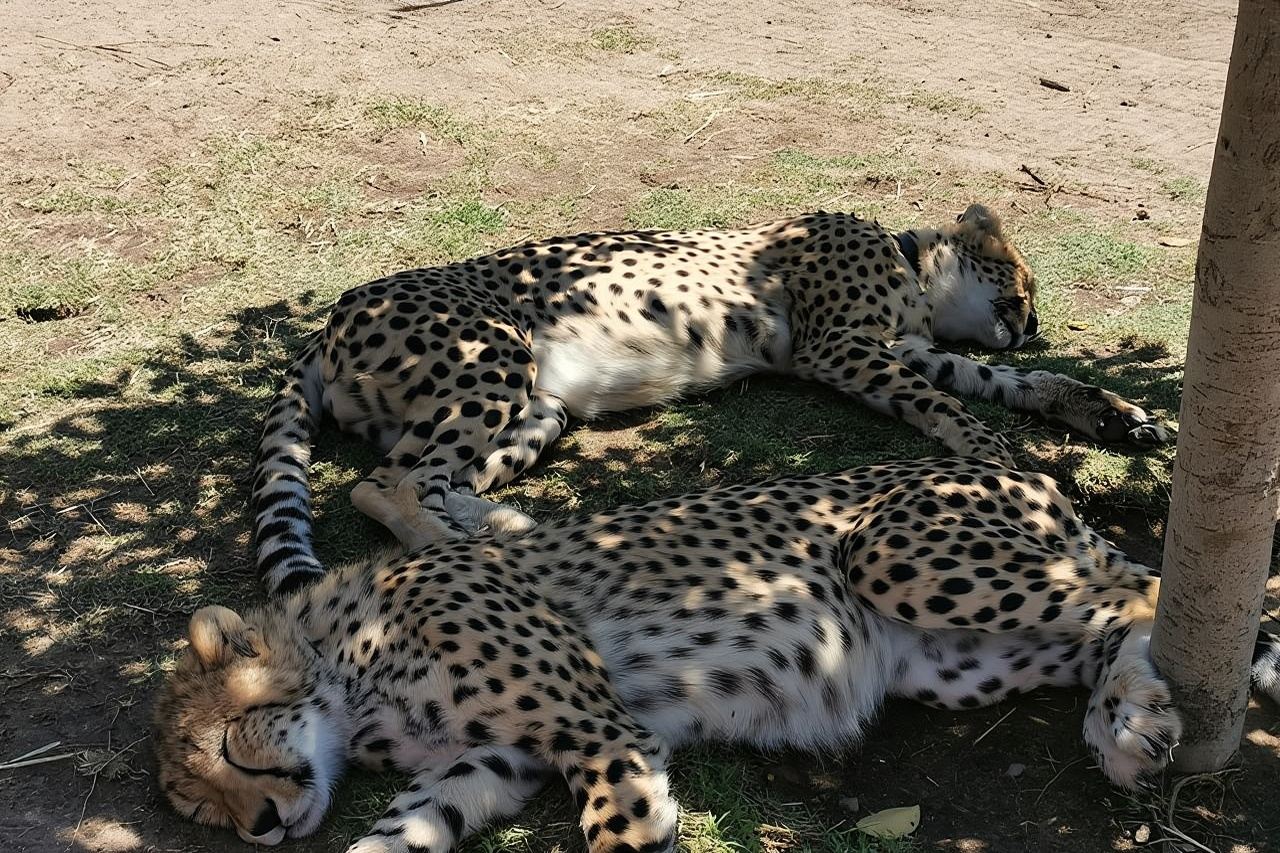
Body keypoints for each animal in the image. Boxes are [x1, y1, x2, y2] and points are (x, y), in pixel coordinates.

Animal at [157, 456, 1280, 851]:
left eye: (231, 747)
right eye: (197, 803)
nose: (259, 826)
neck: (349, 662)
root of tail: (1020, 467)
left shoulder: (593, 729)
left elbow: (617, 827)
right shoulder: (494, 762)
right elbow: (394, 834)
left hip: (894, 550)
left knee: (1140, 589)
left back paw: (1137, 712)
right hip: (956, 658)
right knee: (1106, 626)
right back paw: (1128, 721)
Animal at [251, 203, 1171, 597]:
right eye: (1018, 277)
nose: (1034, 321)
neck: (911, 267)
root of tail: (331, 317)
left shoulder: (907, 349)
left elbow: (1015, 386)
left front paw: (1116, 415)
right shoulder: (841, 349)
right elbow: (956, 409)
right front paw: (996, 460)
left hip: (538, 407)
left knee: (443, 479)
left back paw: (503, 529)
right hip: (492, 358)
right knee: (382, 485)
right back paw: (470, 552)